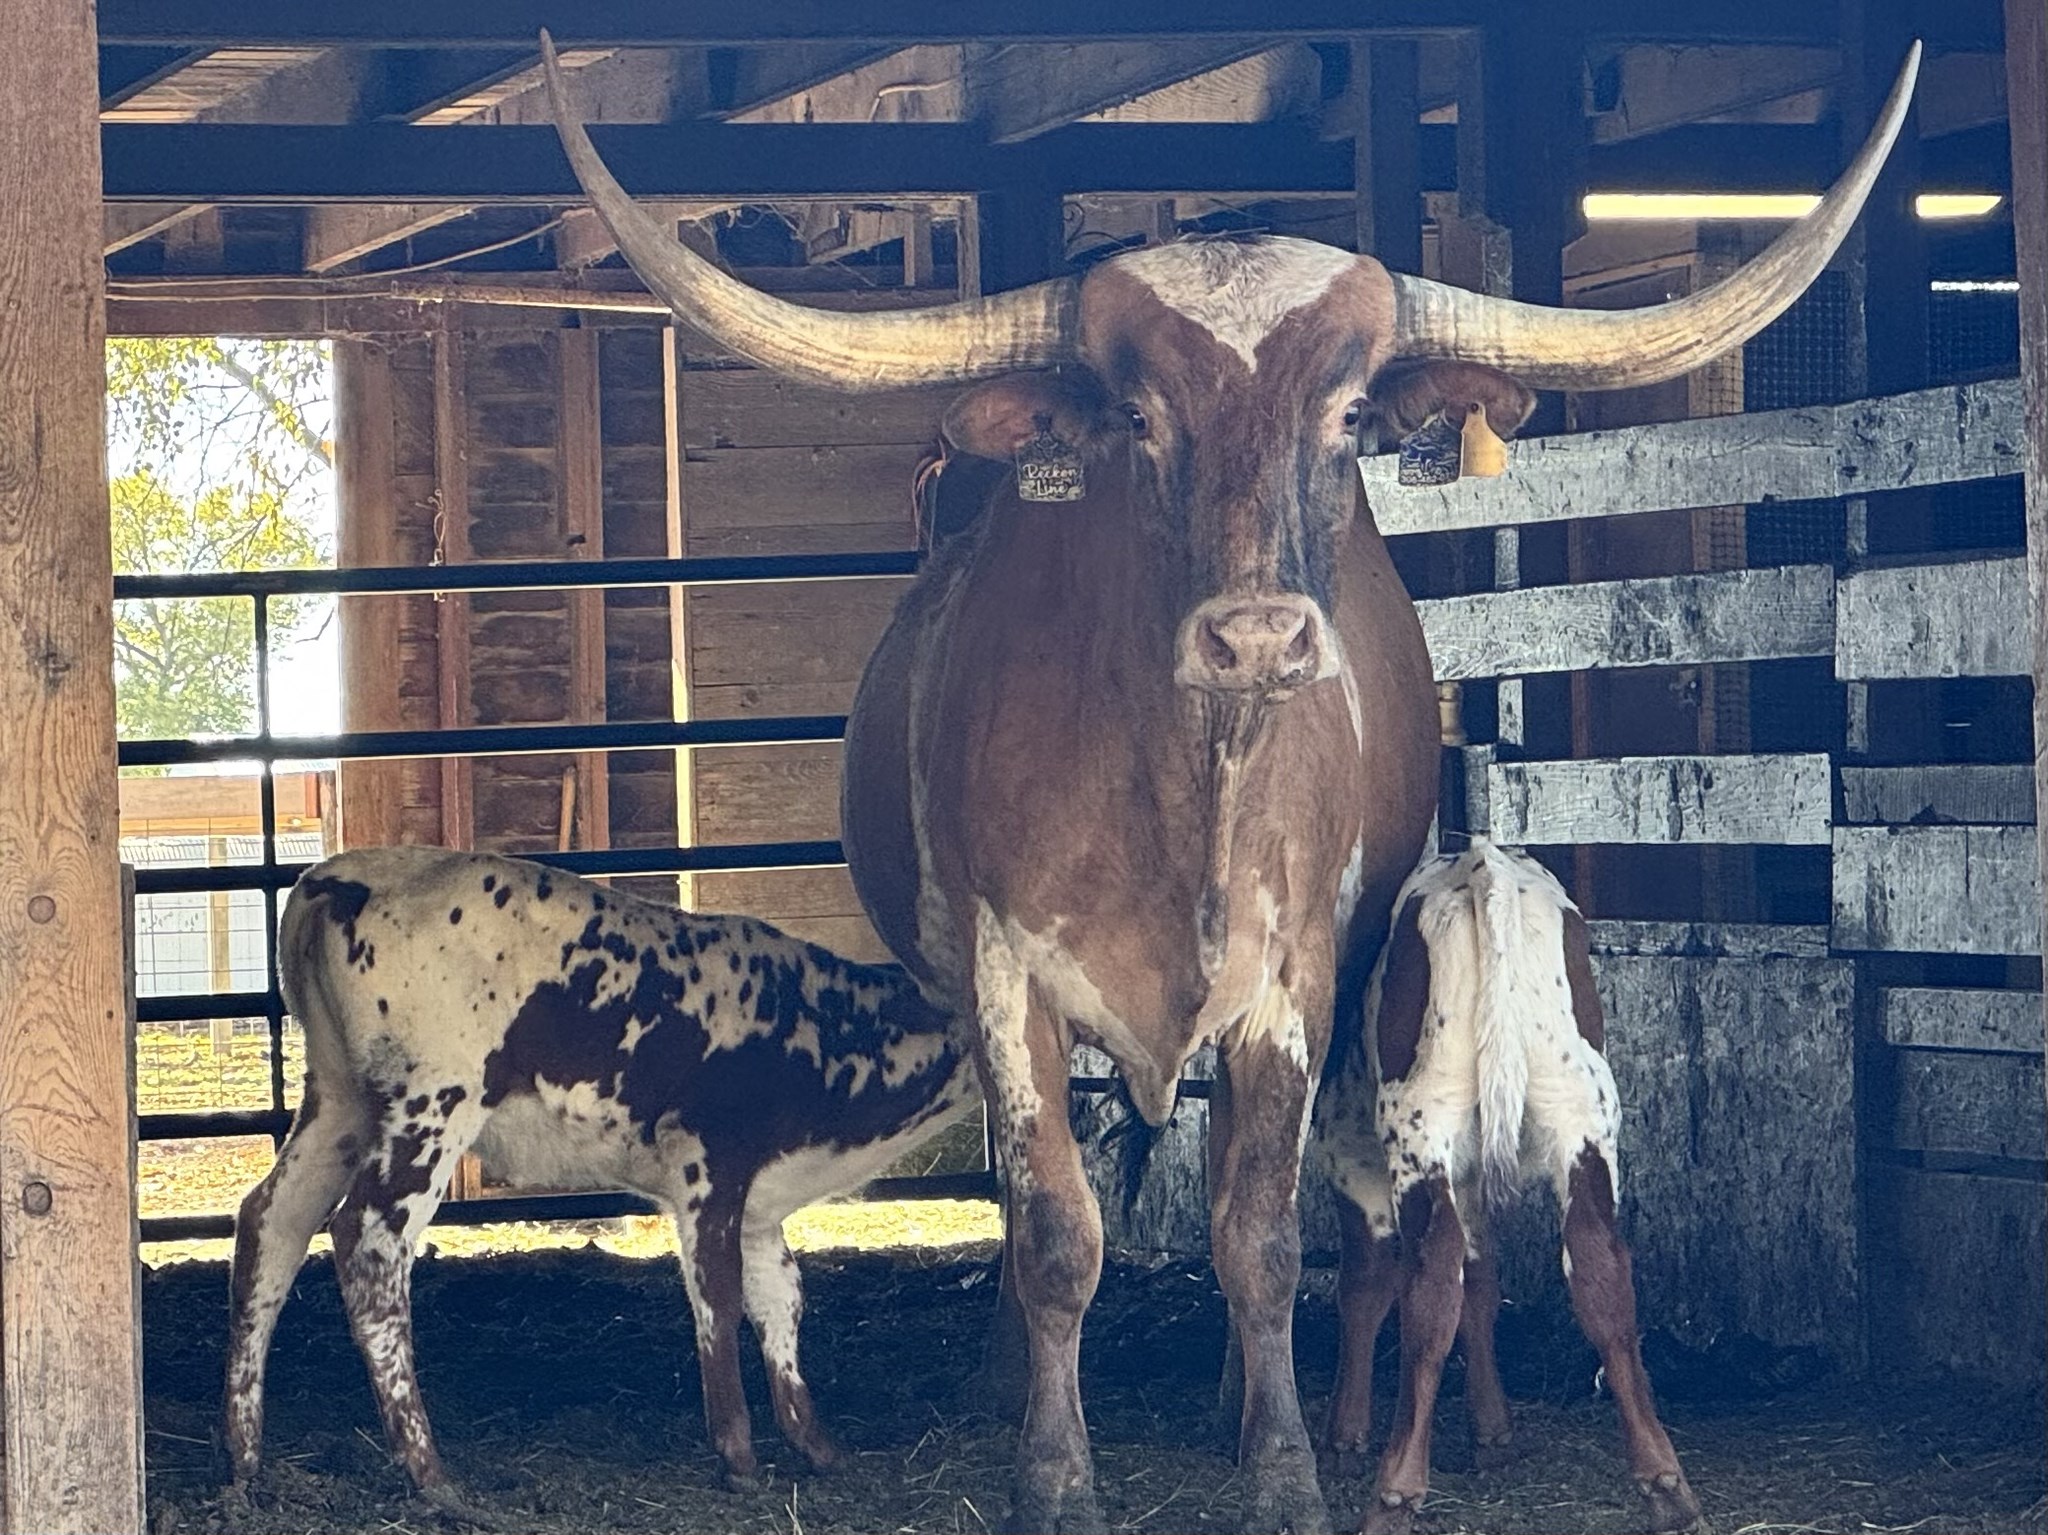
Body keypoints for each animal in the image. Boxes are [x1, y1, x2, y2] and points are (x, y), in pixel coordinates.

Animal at [222, 847, 978, 1518]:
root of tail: (343, 876)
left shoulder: (762, 1202)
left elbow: (781, 1300)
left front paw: (814, 1443)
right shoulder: (711, 1168)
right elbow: (719, 1297)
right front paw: (739, 1457)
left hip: (340, 1101)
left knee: (271, 1222)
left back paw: (246, 1457)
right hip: (435, 1101)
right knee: (369, 1240)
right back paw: (429, 1470)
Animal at [1312, 840, 1700, 1534]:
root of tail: (1483, 865)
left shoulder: (1355, 1169)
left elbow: (1365, 1288)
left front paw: (1343, 1437)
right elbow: (1484, 1283)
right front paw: (1492, 1430)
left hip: (1419, 1125)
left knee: (1431, 1283)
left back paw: (1396, 1489)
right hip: (1582, 1115)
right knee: (1600, 1269)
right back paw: (1665, 1482)